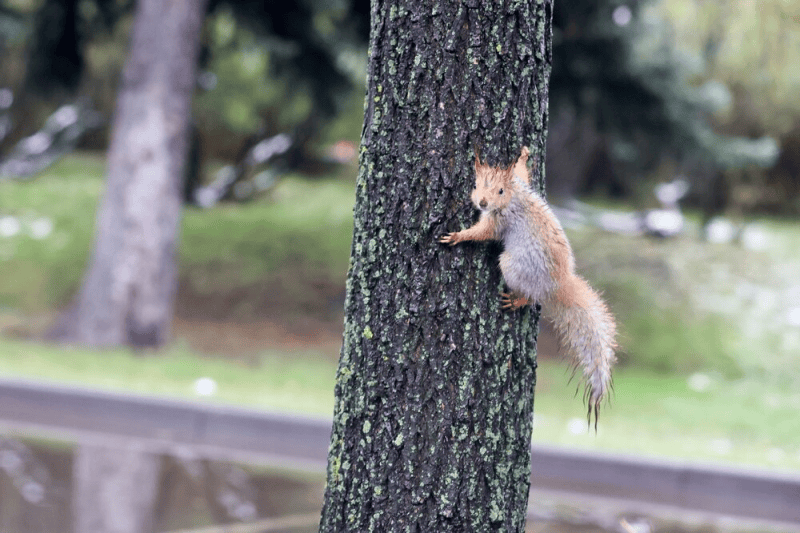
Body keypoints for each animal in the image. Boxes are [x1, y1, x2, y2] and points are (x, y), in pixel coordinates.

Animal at [439, 146, 617, 427]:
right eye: (476, 184)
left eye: (500, 191)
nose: (482, 203)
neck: (515, 196)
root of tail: (558, 285)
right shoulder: (520, 182)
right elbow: (522, 171)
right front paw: (523, 156)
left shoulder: (499, 221)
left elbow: (483, 233)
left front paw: (459, 236)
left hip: (513, 267)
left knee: (533, 296)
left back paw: (517, 300)